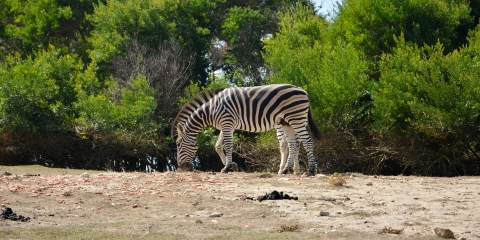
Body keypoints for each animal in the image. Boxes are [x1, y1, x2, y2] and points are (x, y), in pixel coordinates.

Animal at [172, 84, 322, 176]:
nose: (181, 168)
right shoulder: (226, 125)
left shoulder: (227, 122)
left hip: (296, 119)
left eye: (178, 144)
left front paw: (227, 167)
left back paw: (310, 171)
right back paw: (286, 170)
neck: (211, 110)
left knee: (307, 141)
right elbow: (218, 146)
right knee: (293, 144)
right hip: (287, 122)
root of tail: (303, 91)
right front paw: (231, 165)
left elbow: (228, 145)